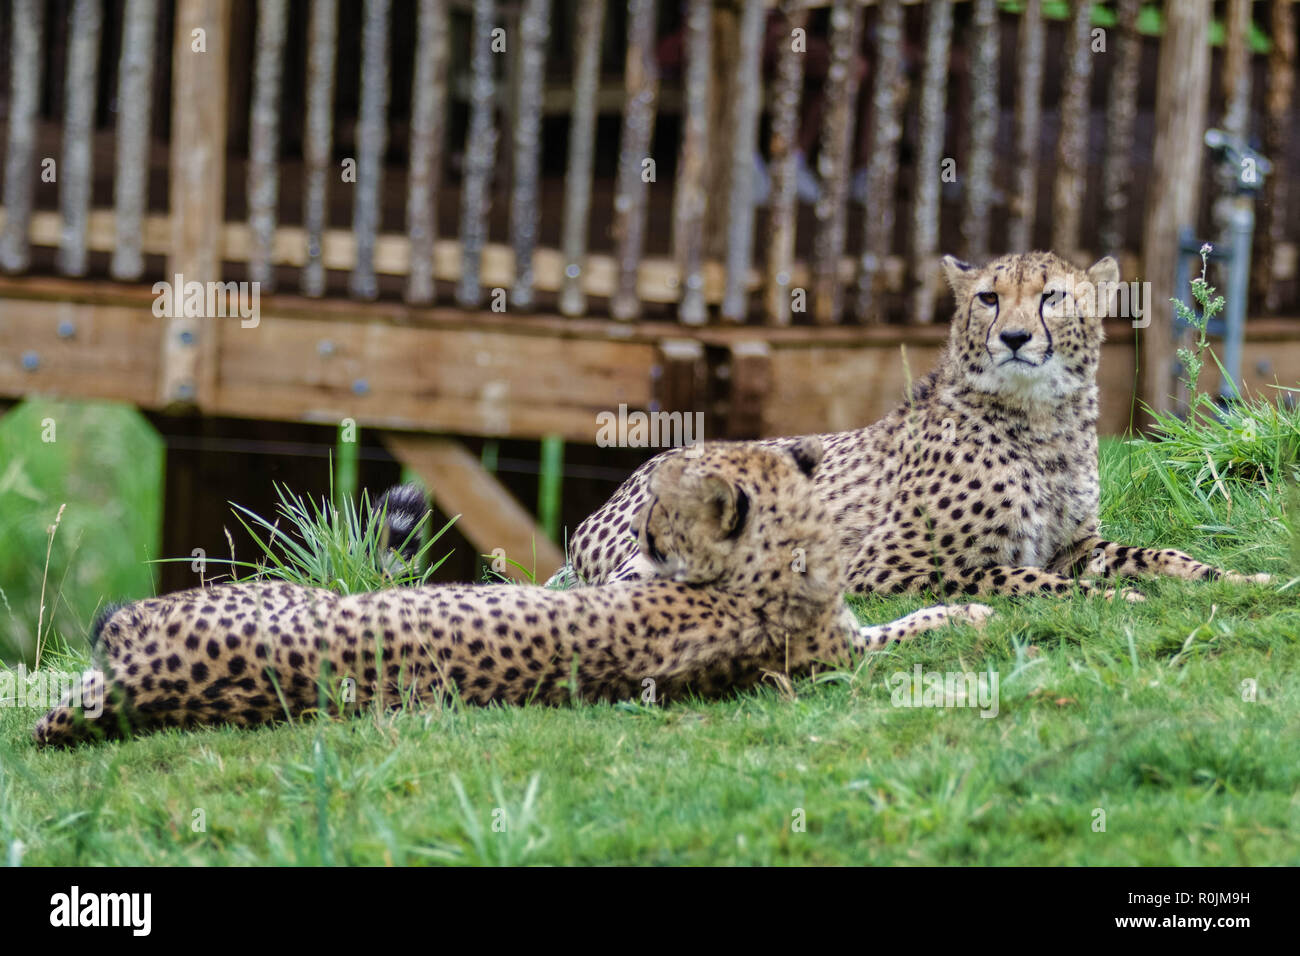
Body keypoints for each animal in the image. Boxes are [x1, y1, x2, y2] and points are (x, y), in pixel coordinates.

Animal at [30, 442, 987, 749]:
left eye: (666, 508)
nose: (638, 532)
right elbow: (920, 619)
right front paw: (974, 611)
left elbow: (919, 620)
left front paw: (970, 612)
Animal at [561, 251, 1268, 600]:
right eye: (989, 298)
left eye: (1051, 297)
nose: (1014, 338)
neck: (1040, 423)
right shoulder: (879, 567)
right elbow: (1014, 576)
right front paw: (1117, 600)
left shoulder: (1074, 544)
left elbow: (1157, 553)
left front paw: (1240, 578)